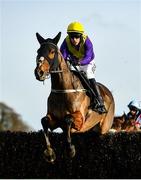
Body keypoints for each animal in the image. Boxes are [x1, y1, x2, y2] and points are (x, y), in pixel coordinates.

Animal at [34, 31, 114, 162]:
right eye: (38, 51)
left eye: (52, 51)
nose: (39, 72)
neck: (63, 90)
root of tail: (109, 92)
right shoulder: (54, 120)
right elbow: (44, 121)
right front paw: (50, 153)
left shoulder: (80, 120)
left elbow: (68, 119)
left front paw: (70, 149)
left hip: (104, 127)